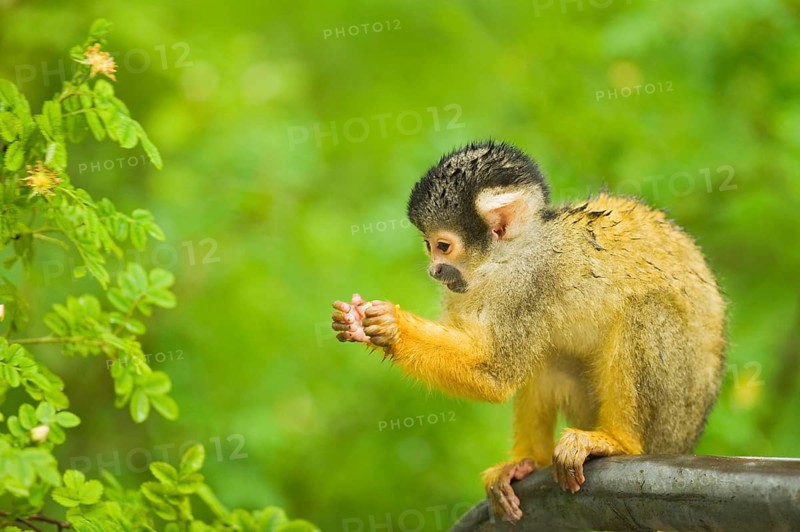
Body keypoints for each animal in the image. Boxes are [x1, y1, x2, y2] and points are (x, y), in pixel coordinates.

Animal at [331, 141, 726, 523]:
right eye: (428, 246)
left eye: (443, 246)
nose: (434, 270)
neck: (505, 259)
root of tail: (685, 439)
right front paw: (358, 324)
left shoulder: (529, 282)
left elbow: (496, 373)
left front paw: (390, 326)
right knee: (548, 351)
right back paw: (529, 461)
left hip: (673, 412)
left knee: (644, 310)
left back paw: (618, 441)